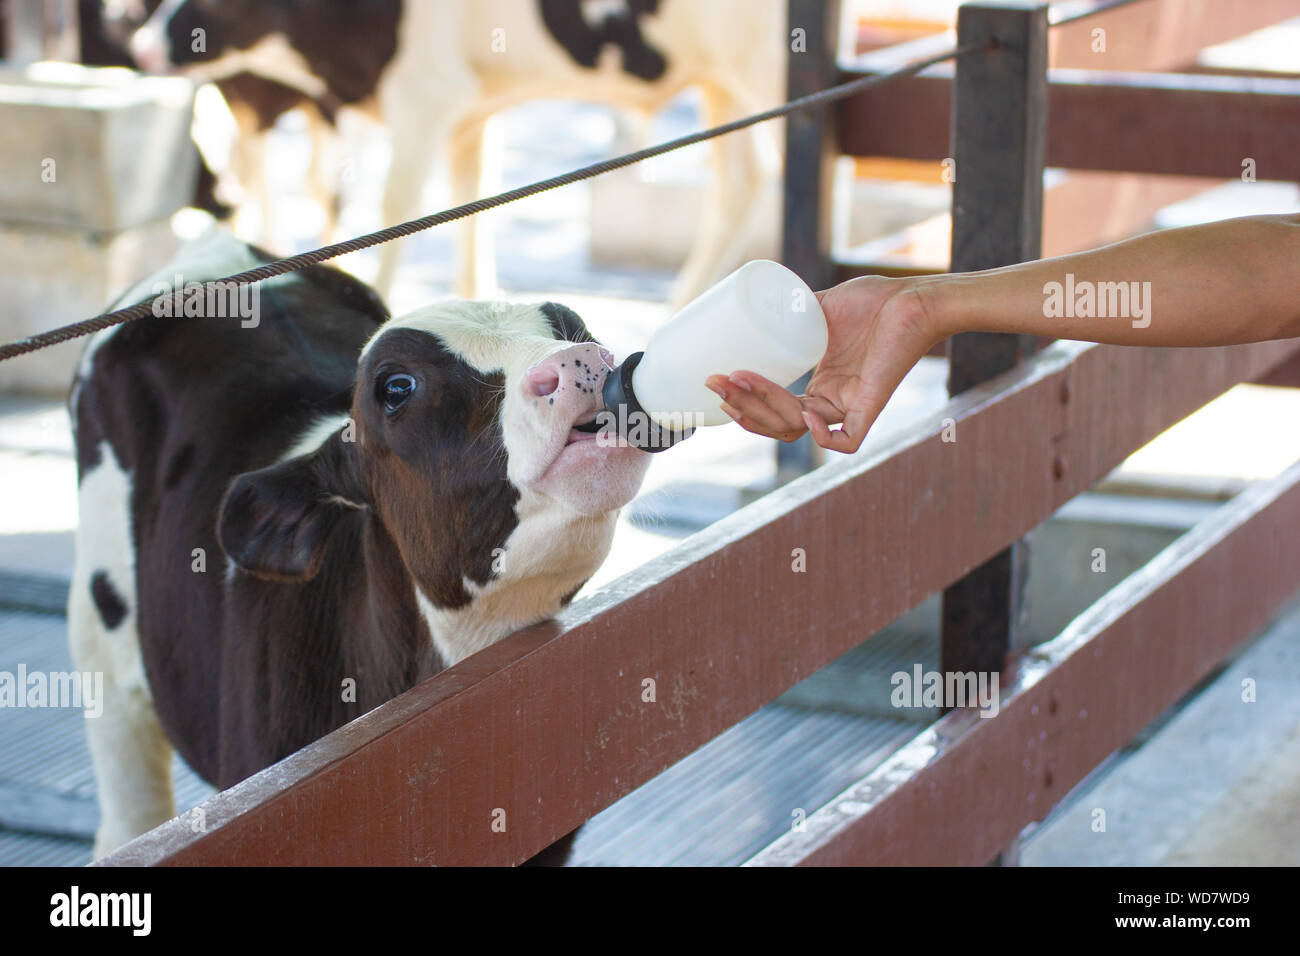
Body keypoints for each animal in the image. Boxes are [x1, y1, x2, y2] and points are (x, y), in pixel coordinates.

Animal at [123, 0, 785, 303]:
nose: (143, 45)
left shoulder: (426, 92)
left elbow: (395, 210)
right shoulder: (469, 111)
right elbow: (472, 202)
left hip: (763, 64)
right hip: (721, 79)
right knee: (741, 181)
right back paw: (683, 306)